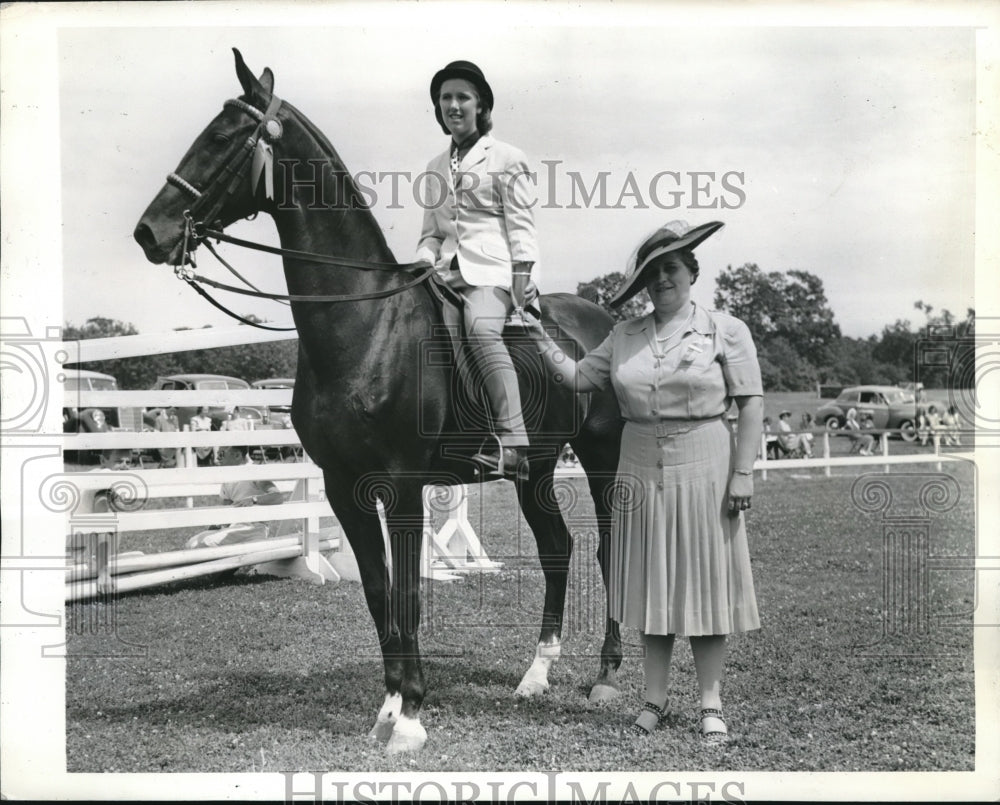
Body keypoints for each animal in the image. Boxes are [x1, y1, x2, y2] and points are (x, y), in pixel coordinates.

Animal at [130, 50, 620, 752]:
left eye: (221, 137)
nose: (150, 232)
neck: (364, 325)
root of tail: (602, 316)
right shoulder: (346, 487)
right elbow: (376, 591)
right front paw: (389, 707)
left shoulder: (405, 486)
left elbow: (408, 593)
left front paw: (411, 718)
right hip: (538, 468)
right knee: (558, 549)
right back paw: (535, 674)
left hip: (602, 459)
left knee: (610, 551)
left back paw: (605, 674)